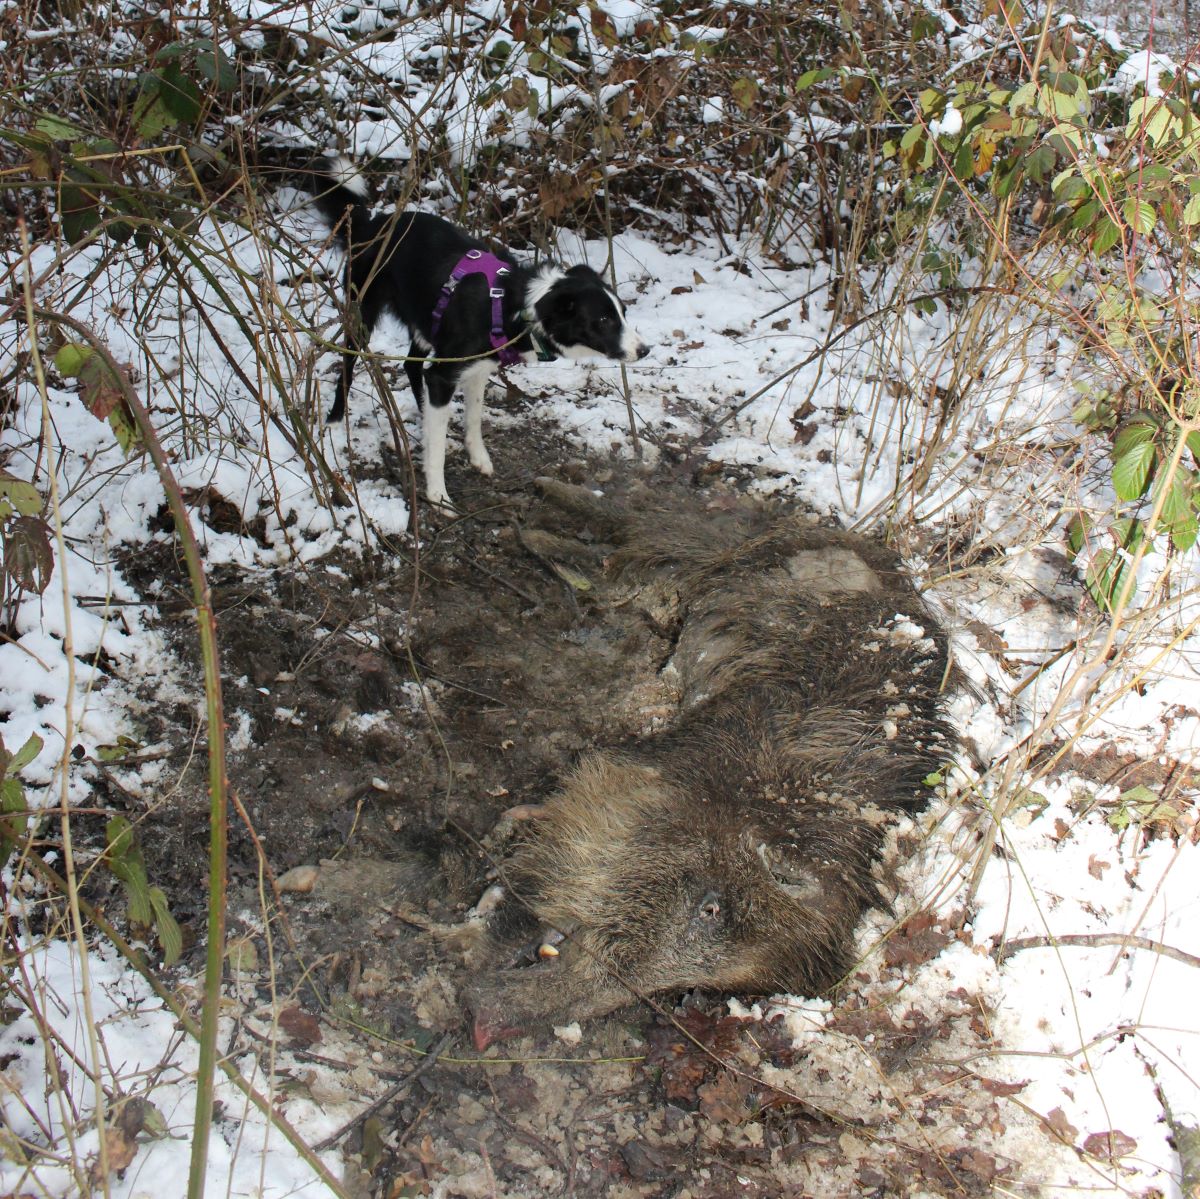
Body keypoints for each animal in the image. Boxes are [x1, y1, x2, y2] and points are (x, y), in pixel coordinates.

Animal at [309, 158, 648, 506]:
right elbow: (438, 450)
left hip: (425, 322)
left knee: (413, 366)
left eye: (623, 313)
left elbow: (473, 417)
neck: (508, 306)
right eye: (604, 320)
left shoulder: (478, 368)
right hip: (361, 311)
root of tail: (374, 224)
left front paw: (477, 457)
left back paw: (425, 415)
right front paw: (438, 495)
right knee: (350, 361)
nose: (644, 350)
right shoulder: (445, 373)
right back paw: (335, 419)